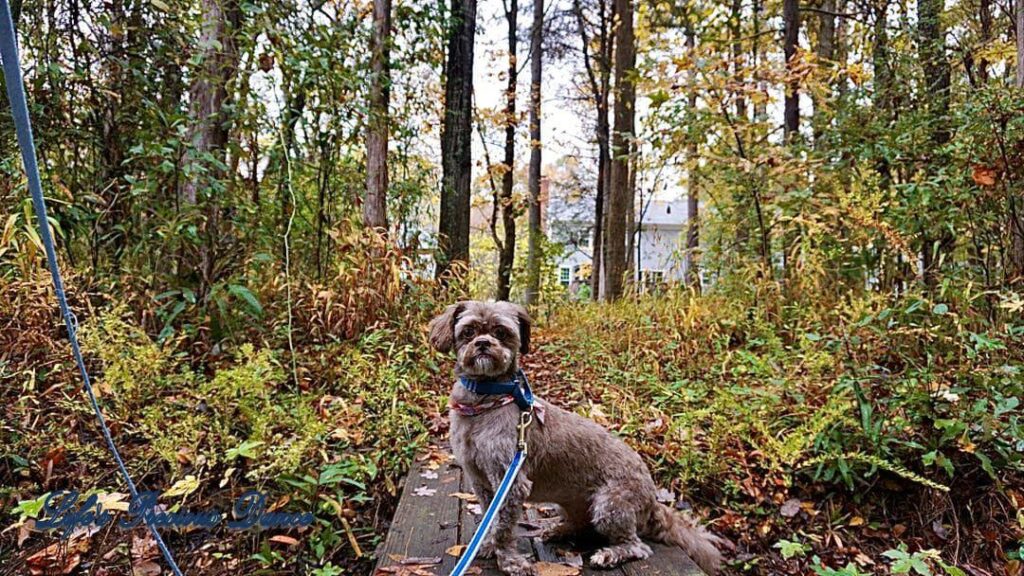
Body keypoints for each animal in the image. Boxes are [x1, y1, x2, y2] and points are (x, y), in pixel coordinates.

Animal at [428, 301, 724, 573]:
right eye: (468, 331)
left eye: (501, 332)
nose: (482, 344)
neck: (485, 400)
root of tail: (653, 500)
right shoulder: (481, 481)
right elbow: (491, 518)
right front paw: (489, 545)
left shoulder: (509, 481)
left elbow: (502, 525)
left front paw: (509, 560)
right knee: (583, 526)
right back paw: (558, 530)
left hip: (610, 505)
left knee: (636, 546)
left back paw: (609, 554)